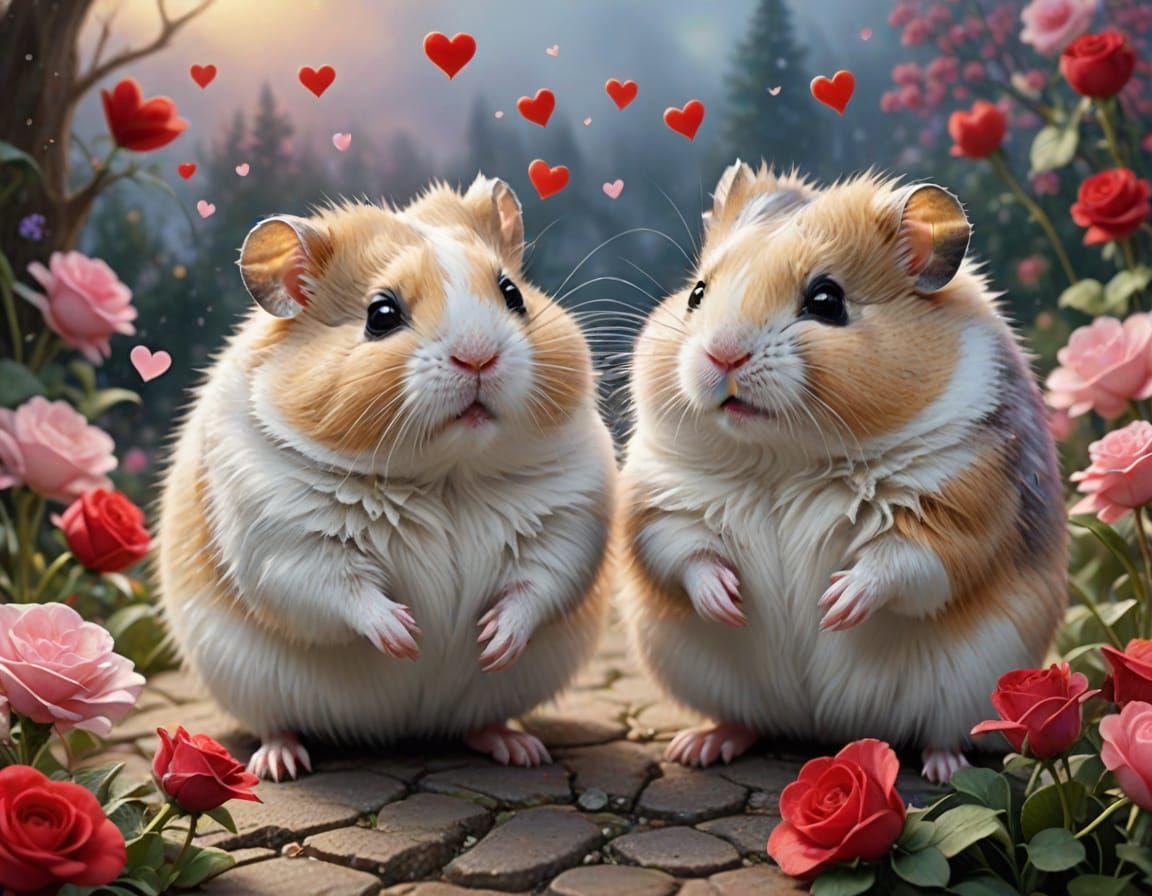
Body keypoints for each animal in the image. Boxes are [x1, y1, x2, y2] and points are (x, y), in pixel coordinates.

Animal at [157, 176, 616, 780]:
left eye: (512, 293)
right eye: (380, 314)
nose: (479, 357)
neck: (446, 476)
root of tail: (400, 731)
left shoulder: (567, 523)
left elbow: (538, 586)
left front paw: (491, 641)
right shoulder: (284, 540)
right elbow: (342, 591)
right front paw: (408, 638)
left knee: (480, 722)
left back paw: (519, 749)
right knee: (275, 722)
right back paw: (279, 763)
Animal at [619, 161, 1066, 783]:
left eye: (827, 300)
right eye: (697, 293)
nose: (722, 354)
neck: (785, 459)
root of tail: (823, 731)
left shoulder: (964, 509)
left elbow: (902, 563)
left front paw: (834, 607)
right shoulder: (661, 499)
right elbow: (685, 553)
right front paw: (730, 602)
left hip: (968, 685)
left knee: (942, 730)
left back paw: (945, 768)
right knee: (742, 720)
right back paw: (699, 746)